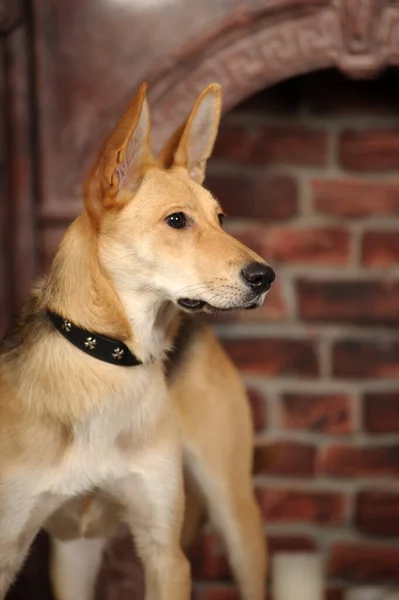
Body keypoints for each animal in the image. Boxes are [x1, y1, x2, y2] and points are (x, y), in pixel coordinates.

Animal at [0, 81, 276, 600]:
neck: (109, 362)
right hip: (73, 557)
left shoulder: (165, 553)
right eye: (177, 221)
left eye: (221, 218)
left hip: (235, 512)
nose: (266, 277)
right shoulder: (37, 545)